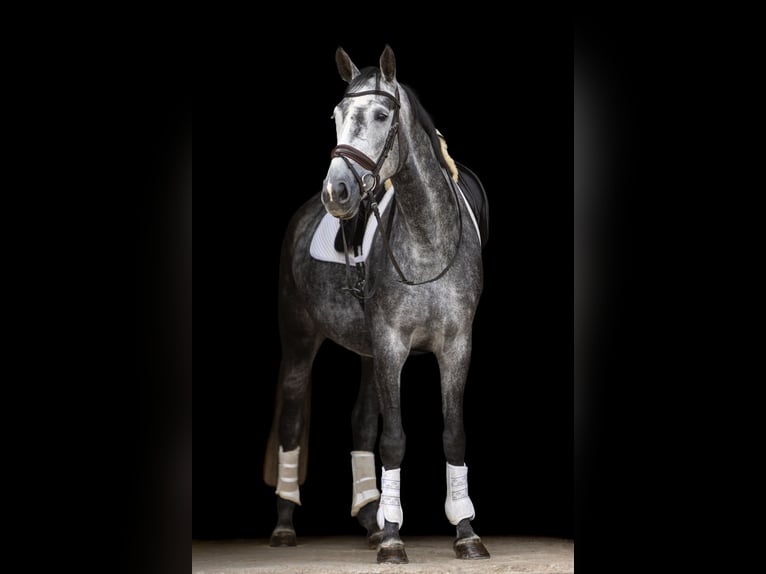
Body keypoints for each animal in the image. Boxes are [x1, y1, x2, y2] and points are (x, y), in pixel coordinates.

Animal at [263, 44, 490, 564]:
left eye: (382, 115)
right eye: (337, 116)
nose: (337, 192)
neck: (427, 239)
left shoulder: (455, 347)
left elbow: (452, 433)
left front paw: (465, 531)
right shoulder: (391, 347)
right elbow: (394, 440)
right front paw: (392, 538)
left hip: (366, 351)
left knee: (361, 421)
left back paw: (368, 517)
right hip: (301, 340)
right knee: (293, 421)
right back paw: (285, 525)